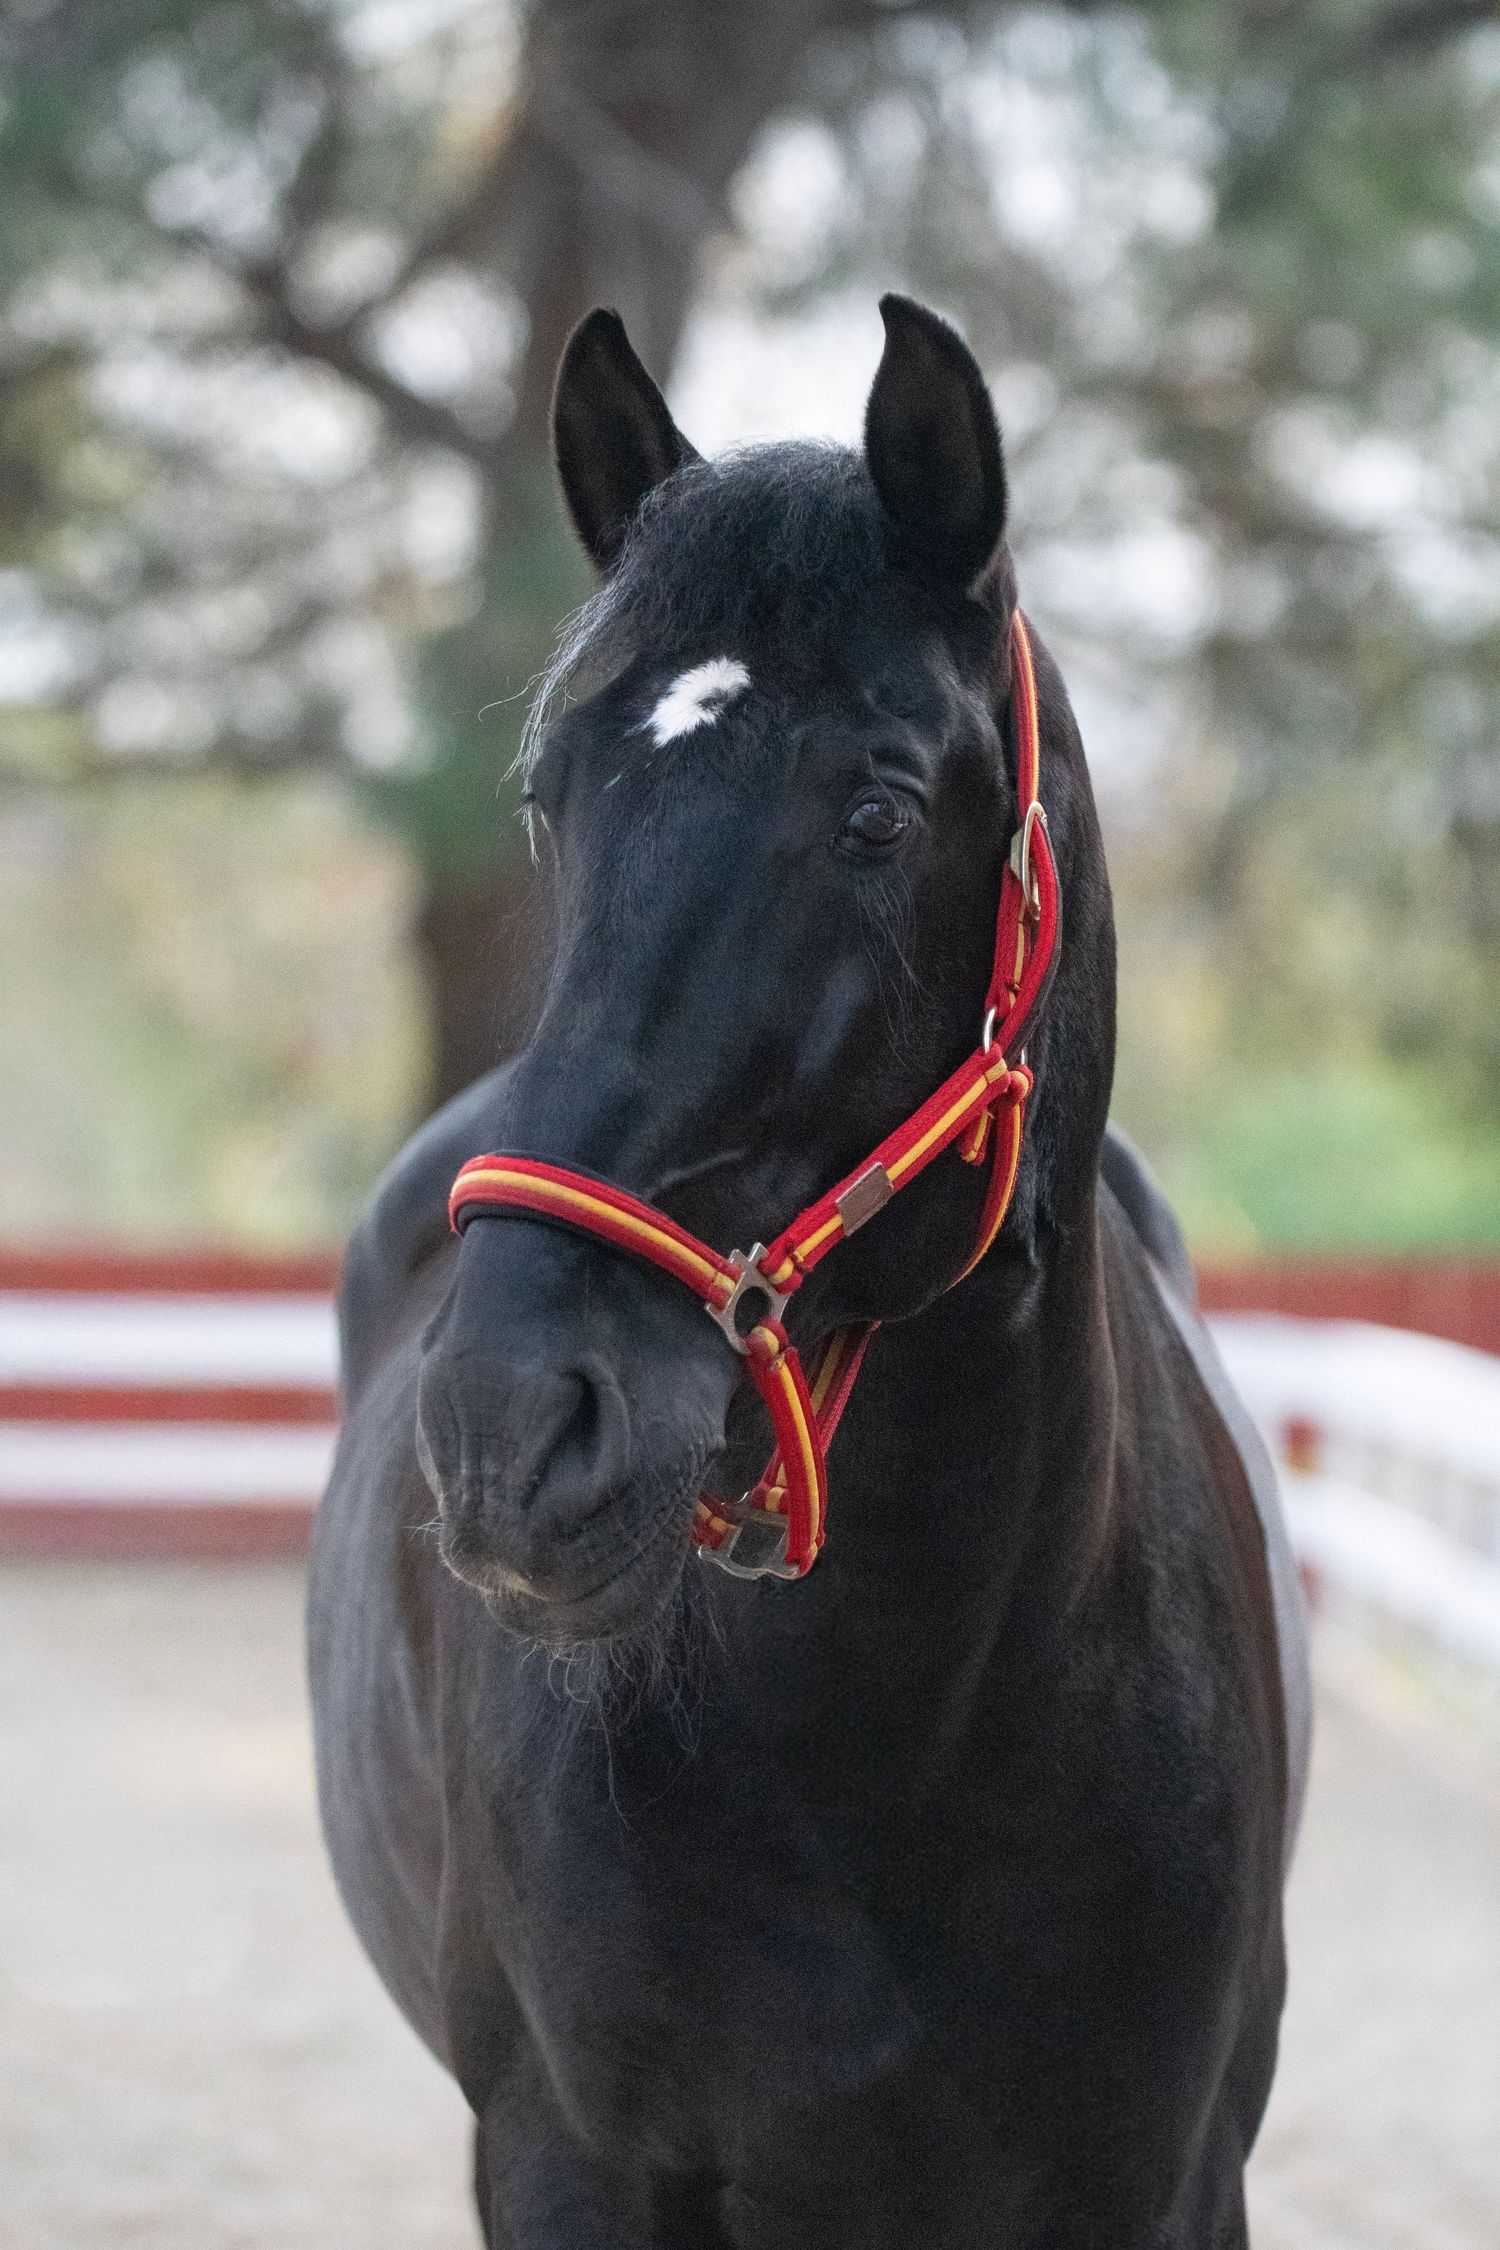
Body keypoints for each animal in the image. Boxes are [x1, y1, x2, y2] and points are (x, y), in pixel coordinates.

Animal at [309, 293, 1310, 2249]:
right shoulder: (568, 2170)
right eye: (551, 799)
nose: (512, 1429)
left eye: (879, 811)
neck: (891, 1746)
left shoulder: (1166, 2184)